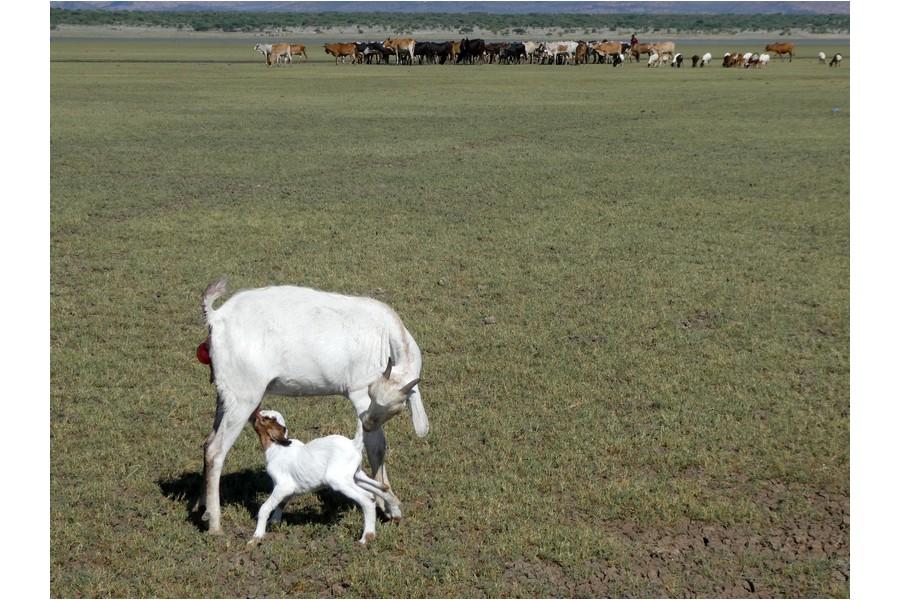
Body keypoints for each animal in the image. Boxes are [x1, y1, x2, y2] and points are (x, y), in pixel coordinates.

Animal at [248, 410, 392, 548]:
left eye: (265, 418)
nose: (255, 413)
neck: (276, 448)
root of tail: (354, 444)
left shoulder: (284, 486)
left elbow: (264, 508)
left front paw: (256, 537)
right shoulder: (287, 489)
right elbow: (281, 503)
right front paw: (274, 522)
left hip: (338, 480)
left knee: (367, 499)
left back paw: (366, 538)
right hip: (355, 476)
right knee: (381, 488)